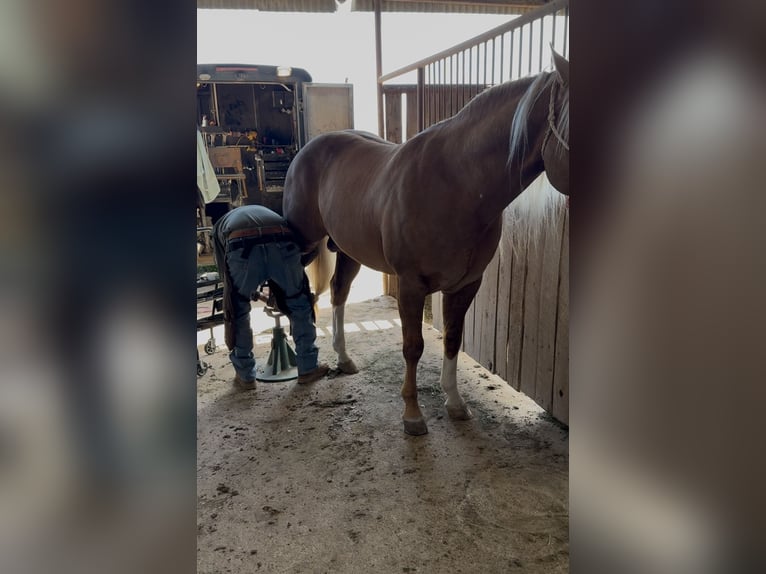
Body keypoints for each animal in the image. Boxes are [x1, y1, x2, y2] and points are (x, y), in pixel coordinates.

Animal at [284, 53, 568, 436]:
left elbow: (452, 338)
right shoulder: (411, 284)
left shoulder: (465, 284)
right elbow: (413, 347)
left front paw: (455, 403)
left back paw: (343, 358)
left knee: (338, 292)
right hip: (303, 244)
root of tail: (310, 148)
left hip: (348, 251)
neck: (457, 185)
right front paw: (413, 415)